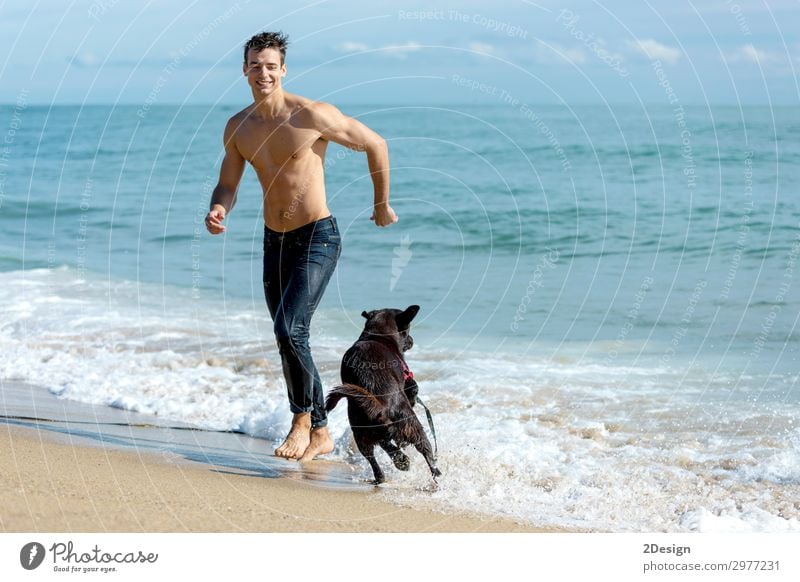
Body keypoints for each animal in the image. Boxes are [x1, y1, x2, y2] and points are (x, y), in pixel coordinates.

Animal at [324, 308, 440, 486]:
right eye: (408, 330)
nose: (412, 341)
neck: (378, 334)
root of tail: (381, 406)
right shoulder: (408, 381)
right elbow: (413, 389)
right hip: (411, 423)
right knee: (424, 449)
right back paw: (434, 473)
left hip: (360, 430)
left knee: (374, 453)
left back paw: (397, 464)